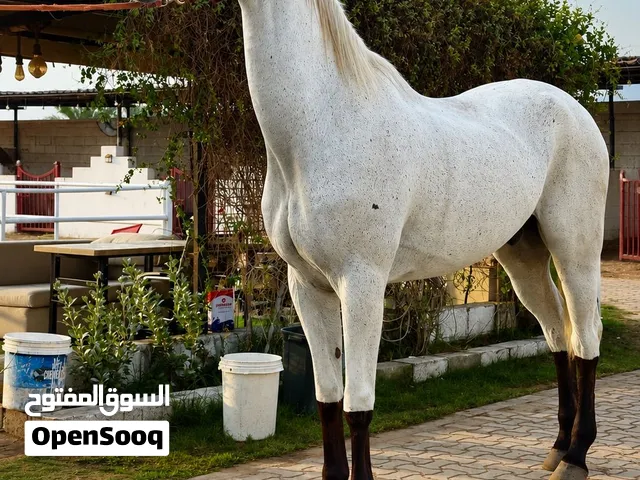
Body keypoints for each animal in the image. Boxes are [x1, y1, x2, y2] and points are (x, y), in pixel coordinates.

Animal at [236, 0, 609, 479]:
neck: (326, 123)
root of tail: (575, 111)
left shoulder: (361, 283)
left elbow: (358, 404)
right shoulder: (307, 286)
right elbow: (328, 399)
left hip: (575, 250)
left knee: (586, 340)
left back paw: (576, 456)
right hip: (522, 258)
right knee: (558, 333)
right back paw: (559, 448)